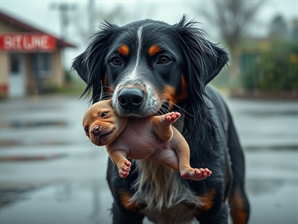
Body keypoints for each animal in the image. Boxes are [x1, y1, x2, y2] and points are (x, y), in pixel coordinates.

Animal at [73, 16, 250, 224]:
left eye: (164, 59)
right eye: (115, 60)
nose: (129, 98)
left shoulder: (215, 210)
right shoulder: (123, 210)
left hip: (239, 200)